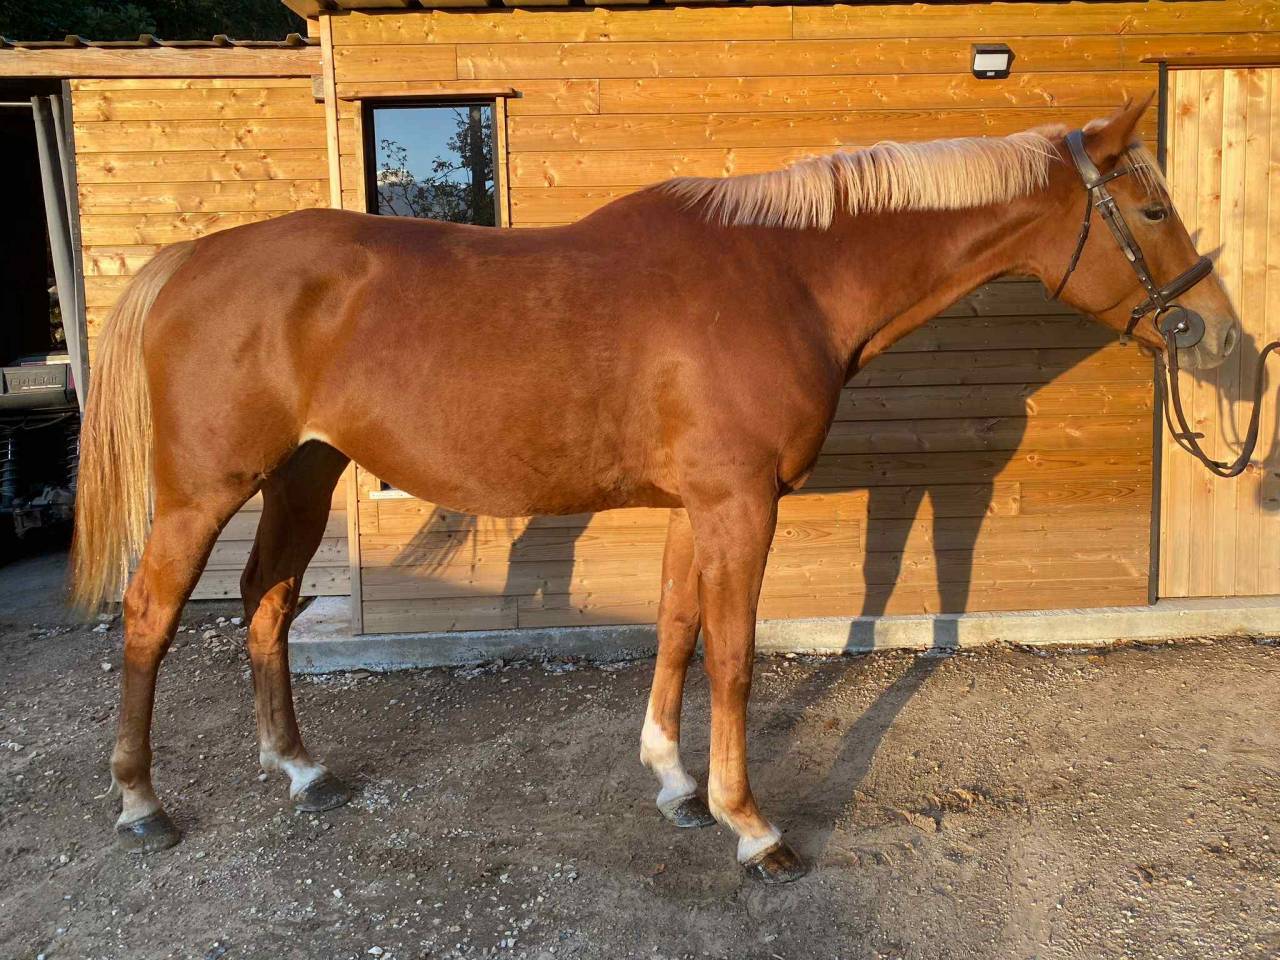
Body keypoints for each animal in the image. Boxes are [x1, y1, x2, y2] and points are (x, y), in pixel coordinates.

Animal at [71, 97, 1240, 883]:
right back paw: (139, 804)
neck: (785, 277)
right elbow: (732, 659)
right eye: (1152, 207)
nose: (1219, 335)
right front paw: (752, 826)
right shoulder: (740, 505)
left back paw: (302, 772)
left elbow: (676, 631)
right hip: (203, 493)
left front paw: (676, 786)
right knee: (151, 619)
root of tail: (193, 257)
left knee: (266, 606)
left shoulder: (700, 508)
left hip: (301, 477)